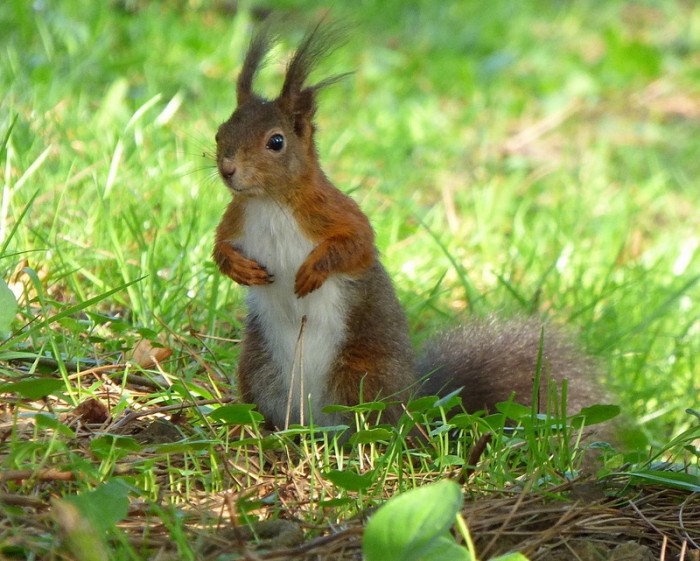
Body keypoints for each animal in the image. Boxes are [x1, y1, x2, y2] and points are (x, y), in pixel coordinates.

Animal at [212, 24, 603, 433]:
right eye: (220, 132)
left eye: (276, 141)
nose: (227, 169)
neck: (268, 202)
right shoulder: (236, 219)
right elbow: (219, 247)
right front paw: (238, 268)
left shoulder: (337, 213)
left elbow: (357, 244)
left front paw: (312, 272)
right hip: (258, 368)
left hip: (365, 376)